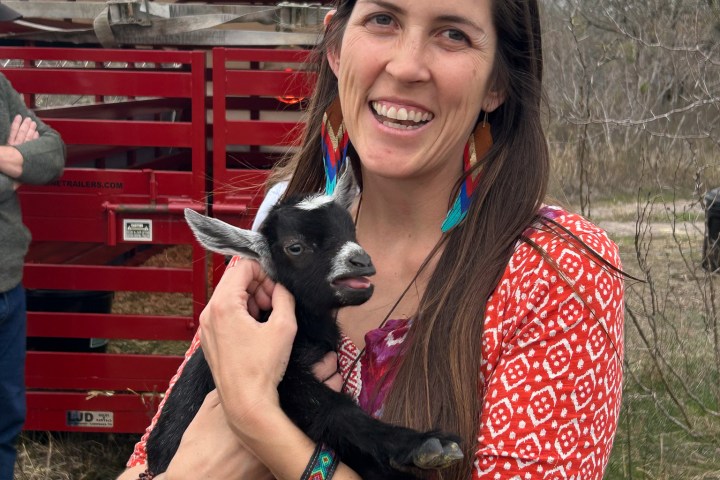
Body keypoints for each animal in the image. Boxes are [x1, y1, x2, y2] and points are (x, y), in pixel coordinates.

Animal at [146, 169, 463, 479]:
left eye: (352, 230)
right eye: (295, 247)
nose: (361, 260)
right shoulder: (285, 380)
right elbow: (331, 409)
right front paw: (421, 444)